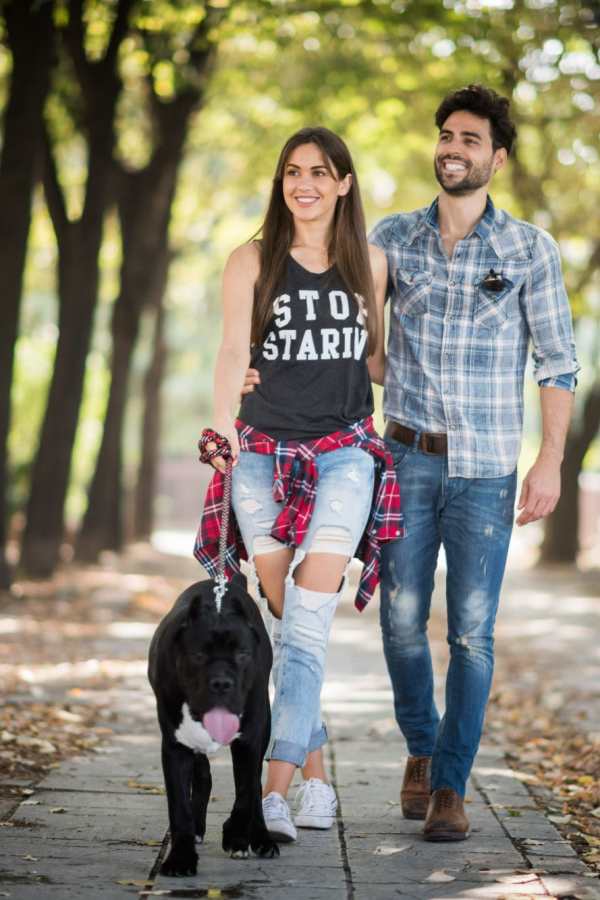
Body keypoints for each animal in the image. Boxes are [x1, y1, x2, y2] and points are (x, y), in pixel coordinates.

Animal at [148, 572, 278, 876]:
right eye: (198, 656)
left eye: (243, 654)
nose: (221, 683)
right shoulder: (175, 746)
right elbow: (179, 807)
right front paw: (181, 858)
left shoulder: (249, 740)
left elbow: (246, 792)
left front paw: (236, 836)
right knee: (203, 774)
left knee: (255, 787)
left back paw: (261, 838)